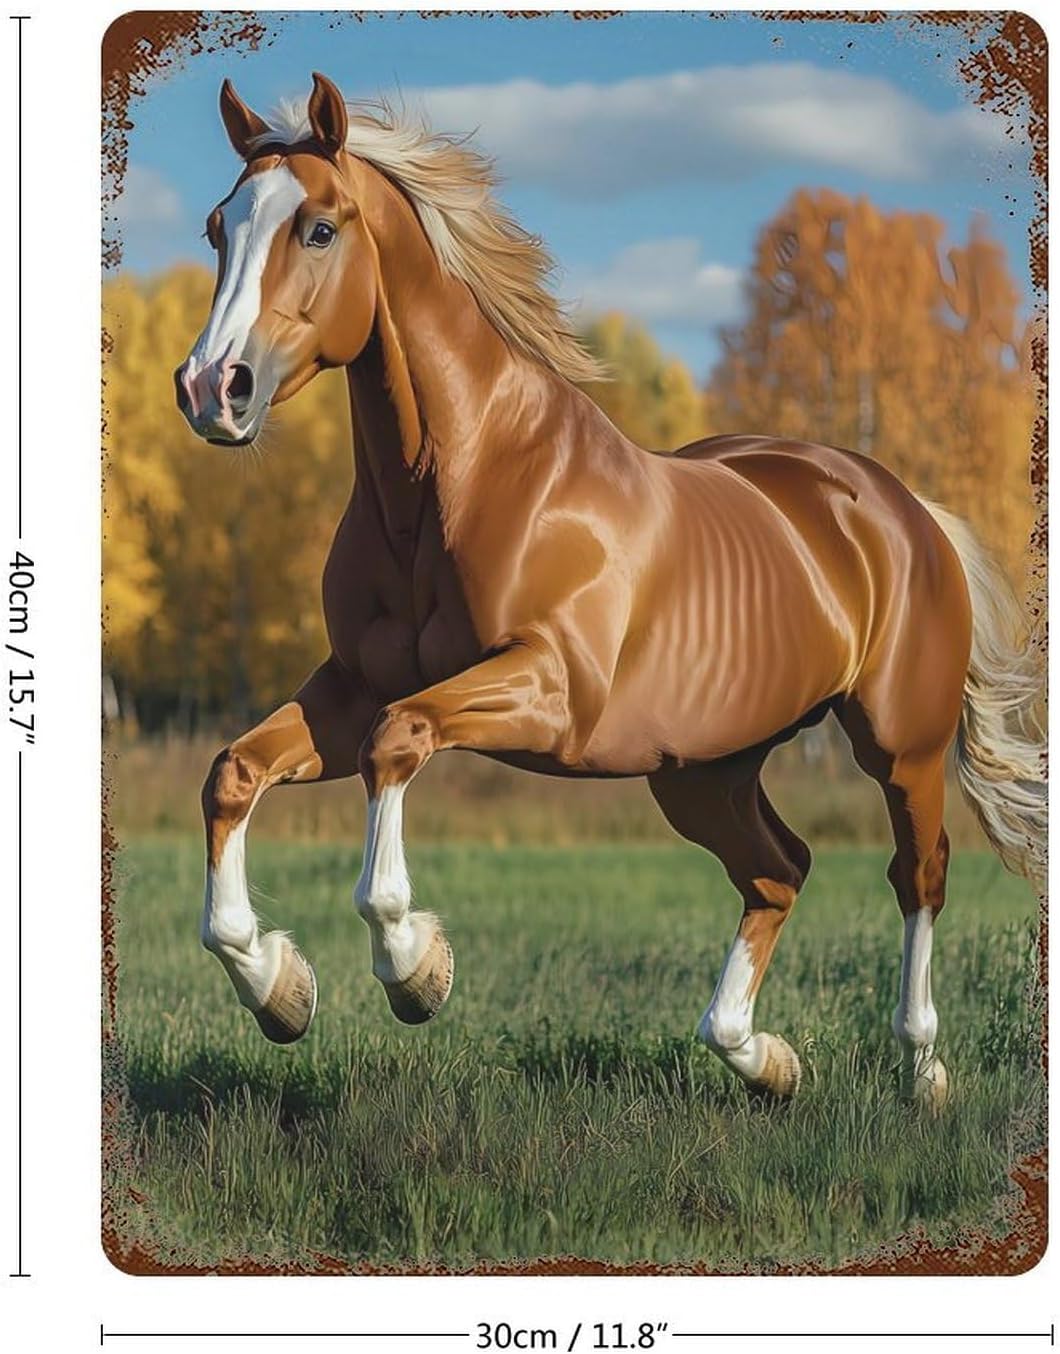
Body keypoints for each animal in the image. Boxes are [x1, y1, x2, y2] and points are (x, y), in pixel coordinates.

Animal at [174, 72, 1045, 1108]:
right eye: (218, 228)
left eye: (317, 228)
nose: (212, 389)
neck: (462, 483)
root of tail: (908, 510)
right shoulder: (350, 687)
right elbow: (235, 772)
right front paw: (280, 989)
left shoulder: (551, 693)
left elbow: (399, 744)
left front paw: (417, 969)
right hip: (703, 770)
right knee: (779, 871)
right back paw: (764, 1059)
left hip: (899, 749)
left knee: (918, 876)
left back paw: (922, 1073)